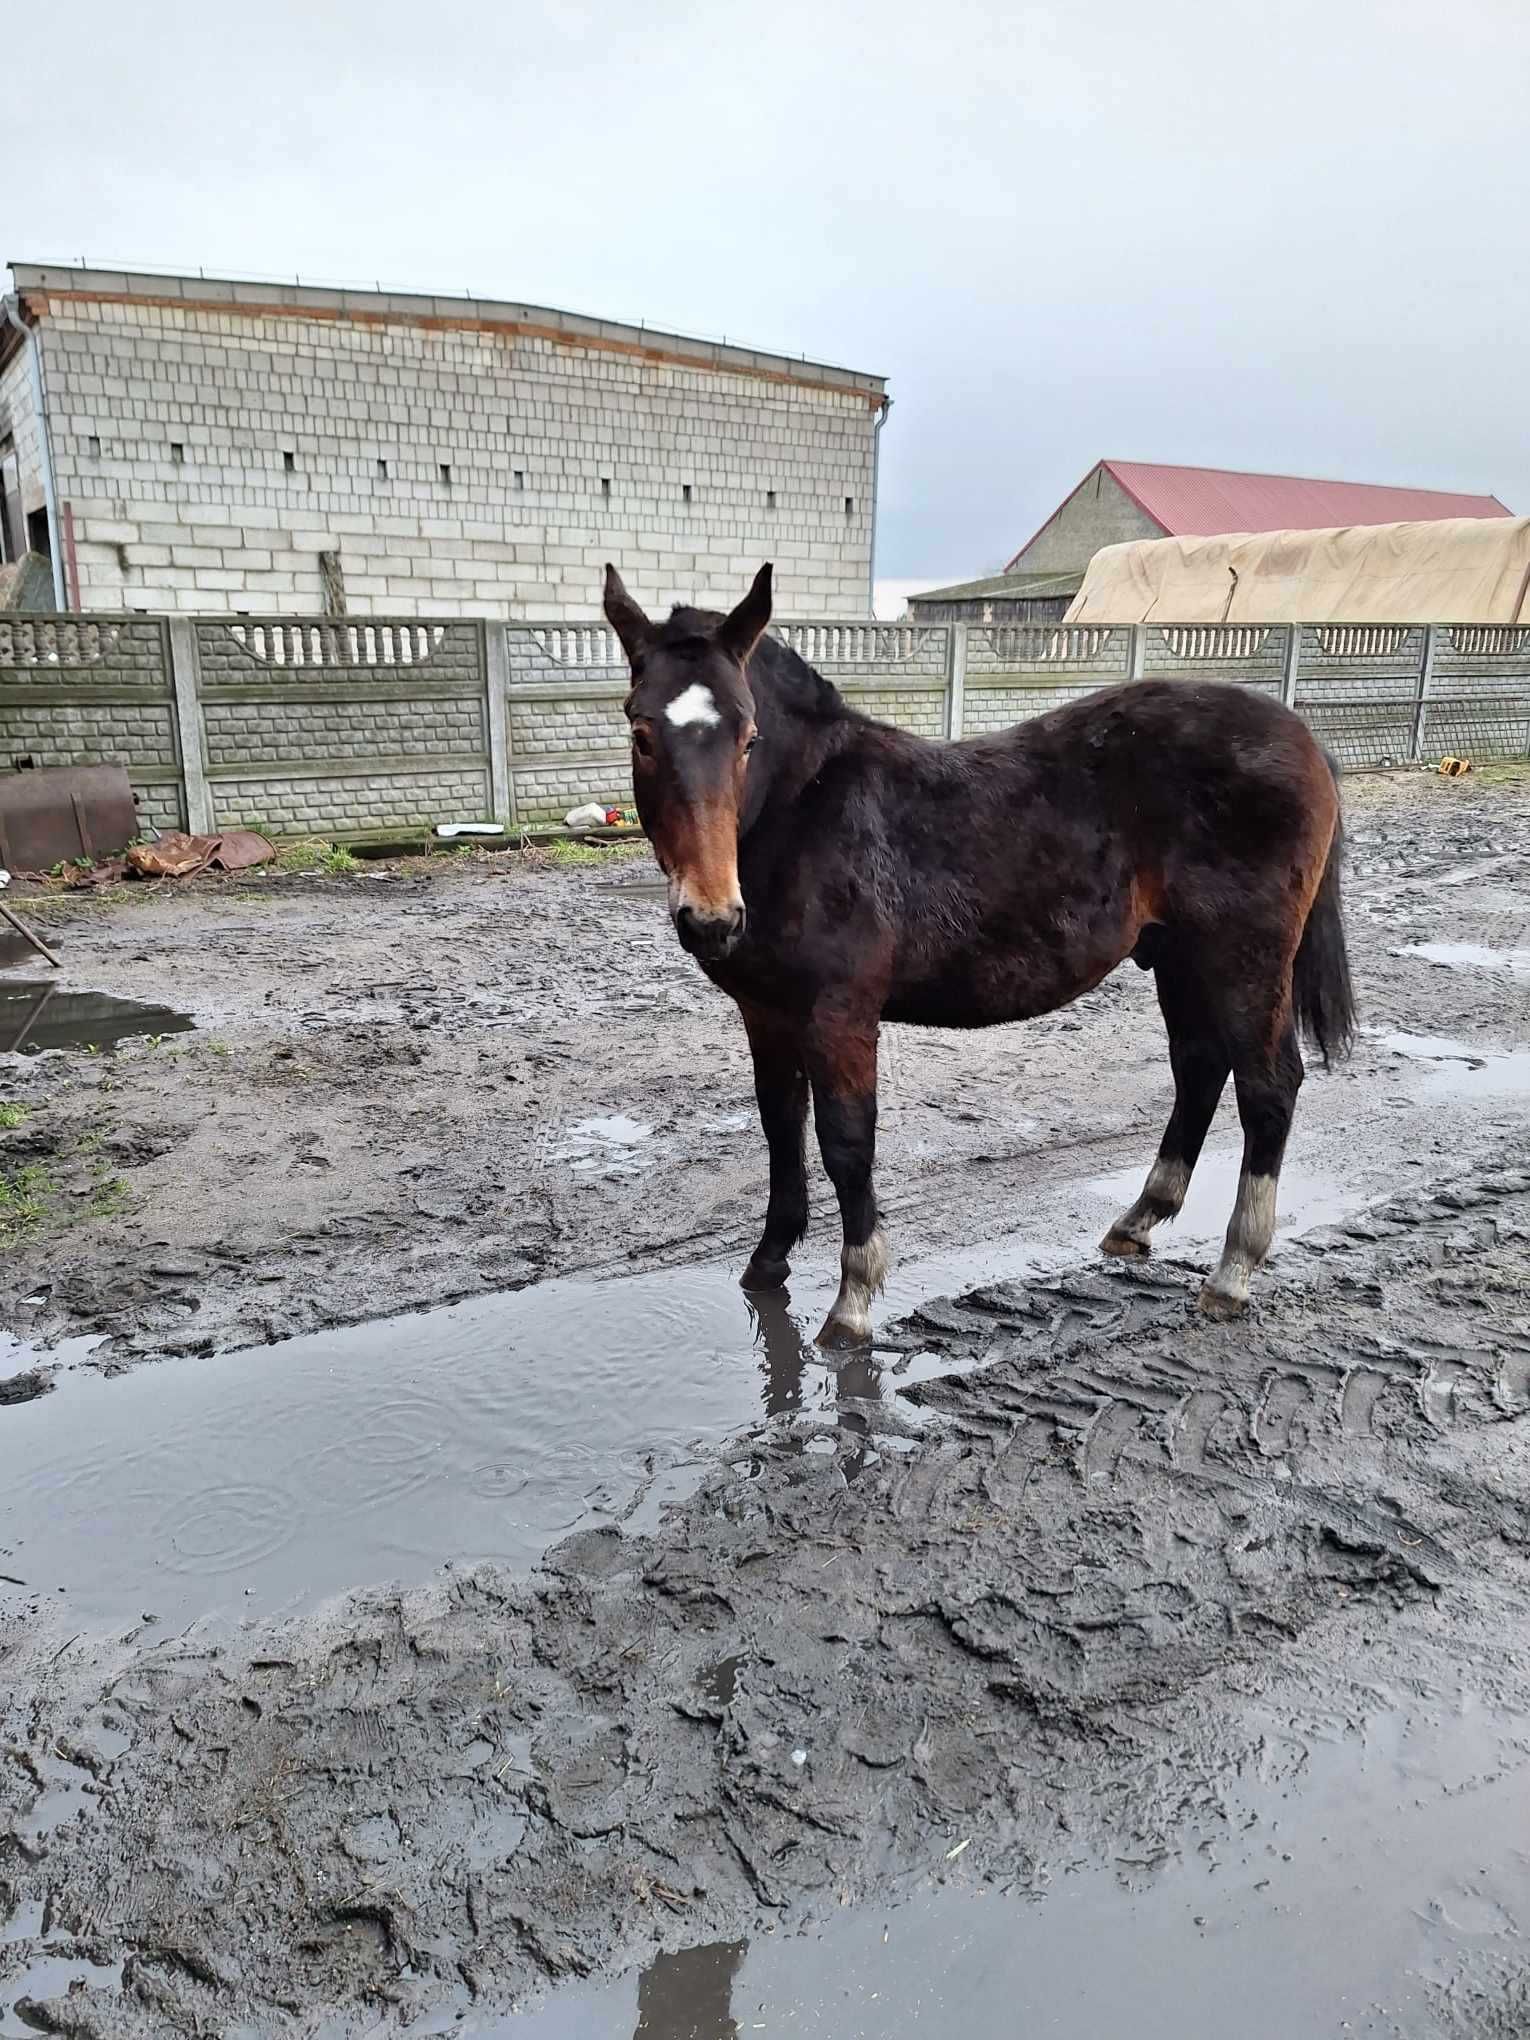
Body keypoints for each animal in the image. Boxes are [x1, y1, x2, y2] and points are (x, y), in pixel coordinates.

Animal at [603, 567, 1362, 1346]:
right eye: (640, 732)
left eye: (749, 736)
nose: (712, 918)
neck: (805, 811)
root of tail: (1305, 739)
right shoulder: (765, 1013)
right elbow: (781, 1129)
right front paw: (767, 1264)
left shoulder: (840, 1013)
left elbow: (845, 1140)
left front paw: (853, 1299)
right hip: (1180, 956)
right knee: (1200, 1067)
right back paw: (1139, 1220)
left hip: (1245, 957)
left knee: (1268, 1086)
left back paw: (1233, 1270)